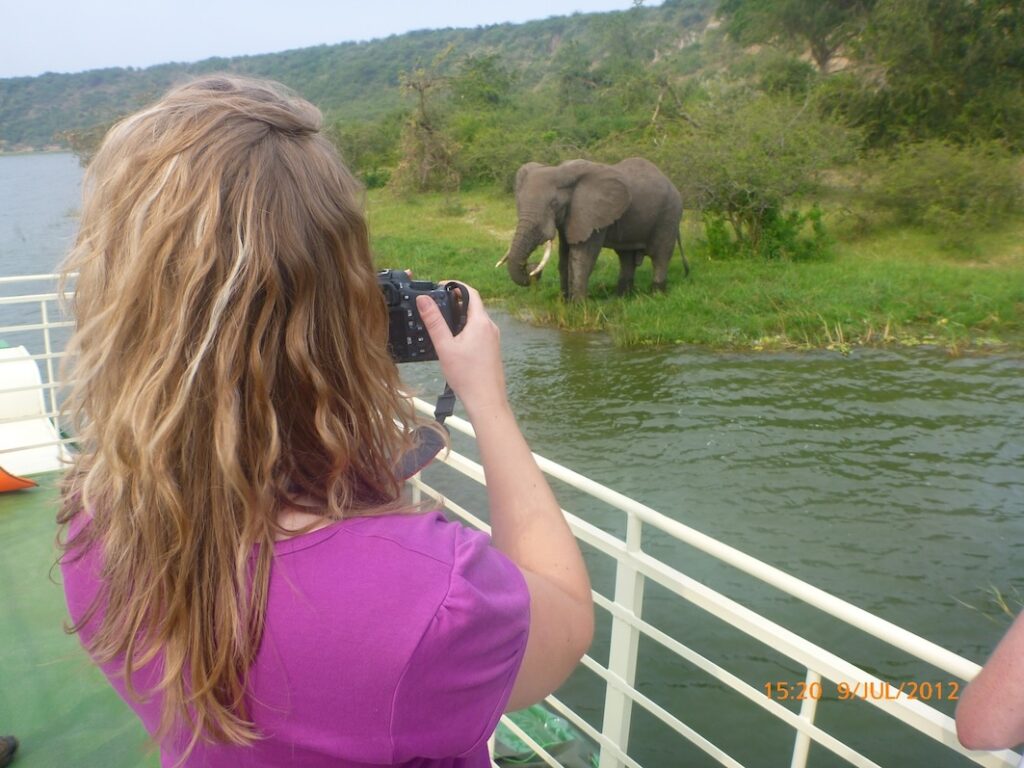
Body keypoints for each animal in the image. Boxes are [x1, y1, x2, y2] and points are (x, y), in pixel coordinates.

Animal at [495, 157, 688, 303]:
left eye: (554, 204)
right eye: (519, 204)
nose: (532, 268)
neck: (560, 171)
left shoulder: (592, 214)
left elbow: (582, 257)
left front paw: (579, 308)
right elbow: (564, 256)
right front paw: (564, 303)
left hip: (669, 214)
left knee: (660, 256)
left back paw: (657, 296)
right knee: (626, 257)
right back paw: (622, 298)